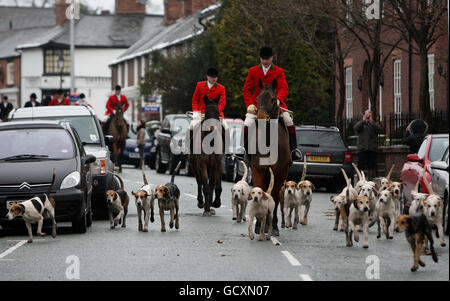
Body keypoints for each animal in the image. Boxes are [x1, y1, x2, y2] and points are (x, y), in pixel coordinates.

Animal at [248, 79, 290, 234]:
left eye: (272, 99)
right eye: (257, 98)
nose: (260, 118)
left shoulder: (279, 172)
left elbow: (276, 198)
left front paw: (274, 226)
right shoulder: (257, 170)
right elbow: (259, 192)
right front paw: (259, 225)